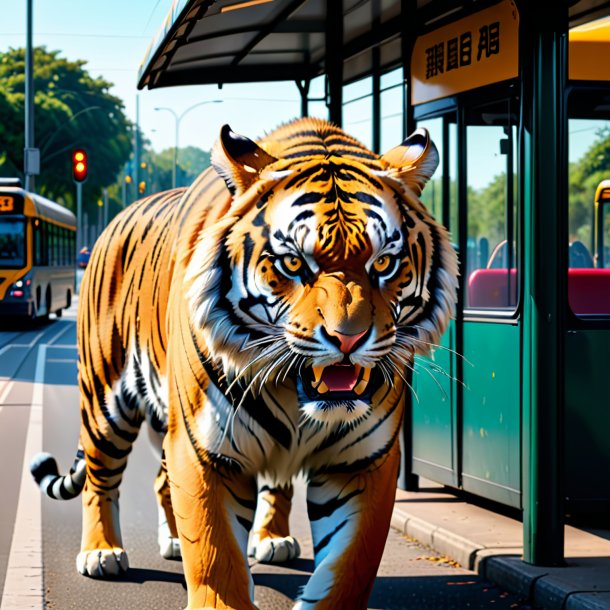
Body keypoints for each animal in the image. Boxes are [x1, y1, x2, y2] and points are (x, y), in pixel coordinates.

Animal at [29, 119, 456, 608]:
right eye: (293, 262)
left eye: (384, 262)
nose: (348, 338)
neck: (293, 392)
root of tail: (116, 217)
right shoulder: (203, 450)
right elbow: (216, 558)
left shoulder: (363, 462)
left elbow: (349, 567)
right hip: (106, 401)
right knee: (101, 476)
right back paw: (102, 553)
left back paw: (247, 539)